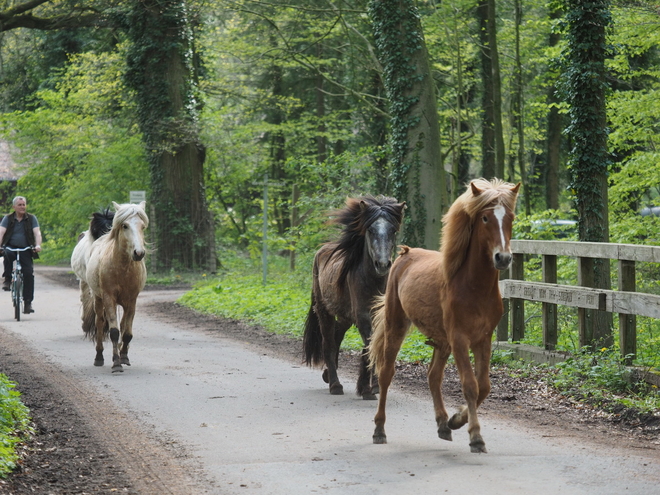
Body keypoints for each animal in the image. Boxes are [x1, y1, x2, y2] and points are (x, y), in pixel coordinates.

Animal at [80, 202, 148, 372]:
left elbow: (127, 332)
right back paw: (99, 357)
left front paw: (123, 357)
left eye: (143, 226)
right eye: (125, 225)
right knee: (99, 322)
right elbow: (114, 331)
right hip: (98, 299)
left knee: (123, 325)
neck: (122, 268)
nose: (139, 253)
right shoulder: (108, 298)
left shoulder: (132, 300)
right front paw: (116, 363)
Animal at [302, 196, 404, 402]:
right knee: (328, 344)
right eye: (370, 230)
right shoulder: (364, 318)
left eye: (393, 230)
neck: (374, 281)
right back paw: (335, 384)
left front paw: (375, 386)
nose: (382, 264)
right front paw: (366, 388)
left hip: (344, 316)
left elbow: (378, 347)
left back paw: (328, 374)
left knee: (337, 336)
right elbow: (369, 347)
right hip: (324, 312)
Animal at [368, 179, 520, 454]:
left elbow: (484, 386)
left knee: (433, 376)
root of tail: (405, 254)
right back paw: (379, 430)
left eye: (510, 217)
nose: (502, 258)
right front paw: (475, 436)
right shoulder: (460, 339)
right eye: (484, 218)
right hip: (397, 327)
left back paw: (443, 424)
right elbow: (470, 385)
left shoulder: (483, 340)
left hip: (441, 341)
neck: (474, 287)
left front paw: (456, 419)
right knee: (386, 374)